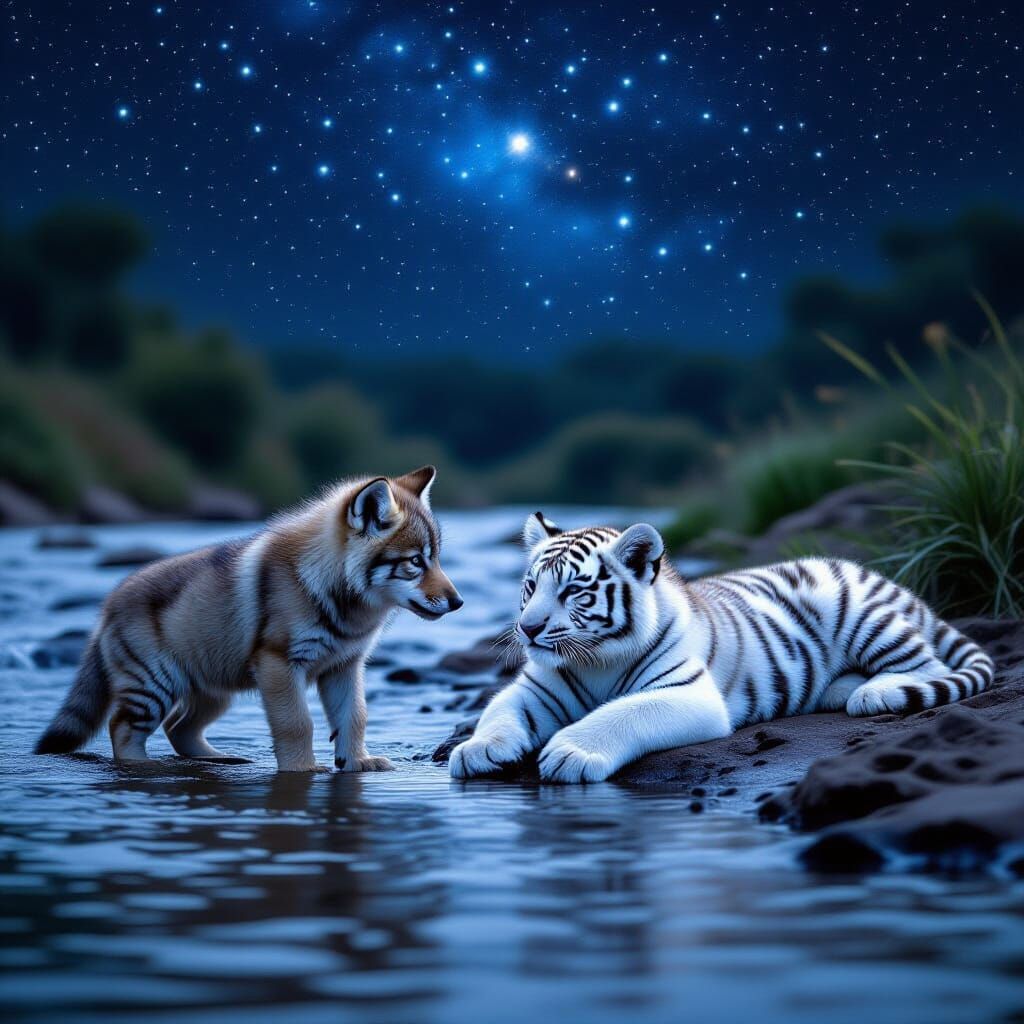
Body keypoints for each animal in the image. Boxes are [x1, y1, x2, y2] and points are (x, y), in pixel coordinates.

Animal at [36, 467, 463, 773]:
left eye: (436, 558)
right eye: (415, 561)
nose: (458, 602)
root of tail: (106, 608)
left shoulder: (343, 666)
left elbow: (355, 716)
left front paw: (357, 762)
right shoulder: (279, 665)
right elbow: (297, 724)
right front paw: (303, 770)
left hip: (213, 689)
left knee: (178, 727)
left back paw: (216, 759)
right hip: (153, 687)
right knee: (122, 728)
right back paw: (145, 765)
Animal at [449, 512, 994, 783]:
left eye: (573, 592)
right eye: (530, 587)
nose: (527, 629)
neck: (595, 660)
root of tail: (890, 582)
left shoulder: (688, 693)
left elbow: (623, 713)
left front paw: (572, 752)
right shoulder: (534, 690)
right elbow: (498, 712)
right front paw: (477, 749)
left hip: (862, 616)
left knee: (927, 663)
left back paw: (873, 693)